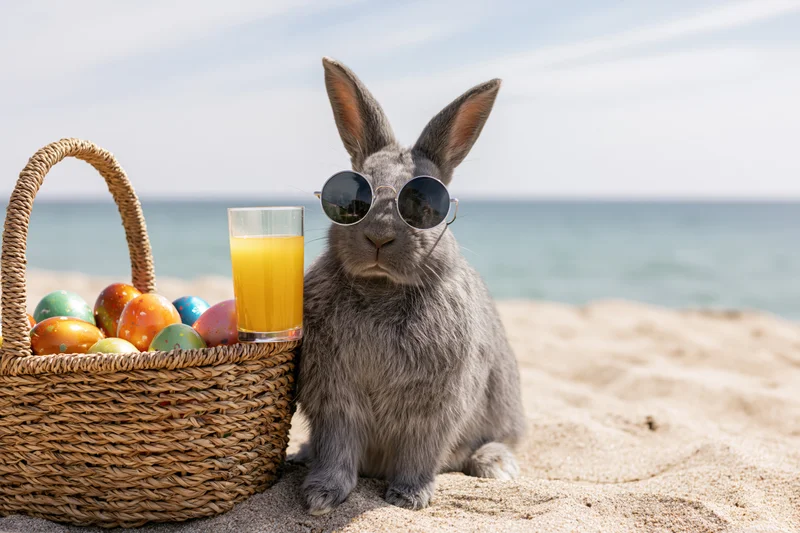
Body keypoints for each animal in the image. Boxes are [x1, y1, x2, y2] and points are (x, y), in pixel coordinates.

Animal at [294, 57, 525, 515]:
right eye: (351, 195)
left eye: (426, 204)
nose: (379, 236)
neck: (382, 287)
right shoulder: (335, 401)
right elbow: (336, 450)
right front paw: (321, 497)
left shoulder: (434, 408)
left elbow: (420, 451)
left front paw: (408, 497)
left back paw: (497, 466)